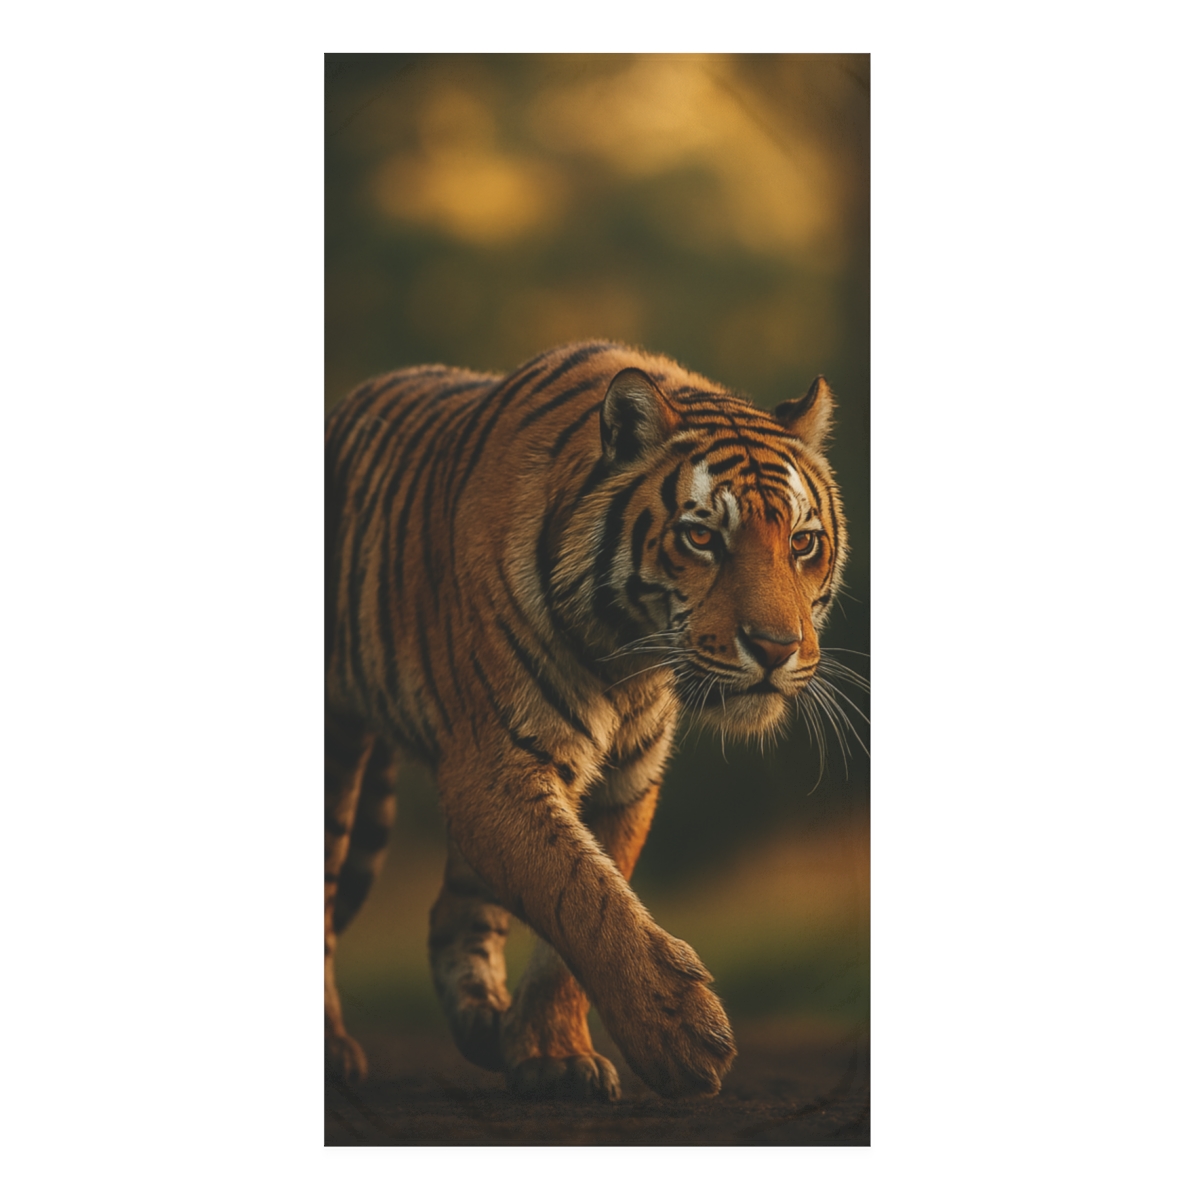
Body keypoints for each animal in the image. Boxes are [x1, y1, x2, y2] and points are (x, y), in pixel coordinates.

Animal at [325, 340, 848, 1101]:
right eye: (701, 537)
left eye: (803, 544)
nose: (778, 649)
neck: (626, 654)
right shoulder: (496, 767)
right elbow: (579, 892)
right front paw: (680, 1035)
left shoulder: (625, 781)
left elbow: (581, 908)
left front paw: (551, 1054)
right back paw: (336, 1049)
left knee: (455, 908)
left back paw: (486, 1025)